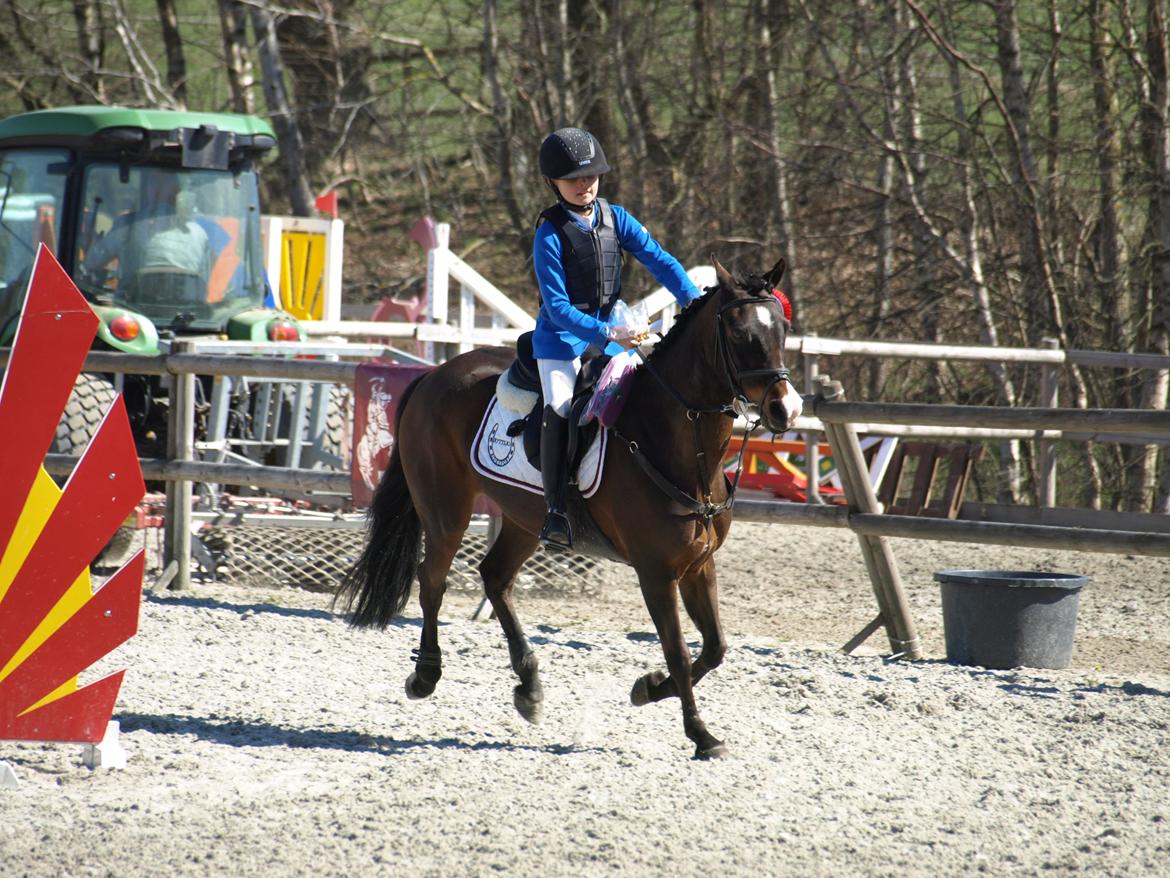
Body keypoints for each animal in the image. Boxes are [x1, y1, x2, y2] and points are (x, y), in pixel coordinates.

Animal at [334, 257, 800, 758]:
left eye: (783, 328)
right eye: (738, 332)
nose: (786, 410)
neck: (678, 444)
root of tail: (435, 373)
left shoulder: (698, 566)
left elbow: (714, 648)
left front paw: (648, 688)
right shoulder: (656, 573)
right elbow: (676, 651)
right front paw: (700, 734)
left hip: (525, 519)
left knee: (495, 578)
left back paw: (529, 685)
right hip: (446, 511)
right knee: (433, 581)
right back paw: (425, 675)